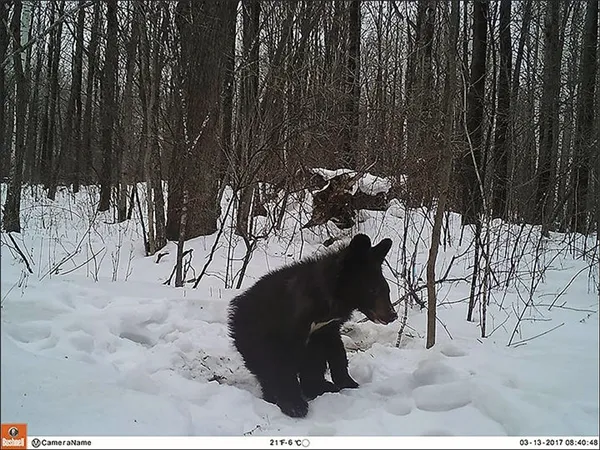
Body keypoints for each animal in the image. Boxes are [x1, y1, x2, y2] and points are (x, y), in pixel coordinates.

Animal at [227, 236, 396, 418]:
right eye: (373, 290)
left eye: (386, 289)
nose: (393, 315)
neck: (329, 301)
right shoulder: (290, 325)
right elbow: (283, 365)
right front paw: (294, 405)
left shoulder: (327, 328)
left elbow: (338, 353)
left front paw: (349, 383)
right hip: (252, 338)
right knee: (266, 368)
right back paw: (276, 396)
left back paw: (320, 387)